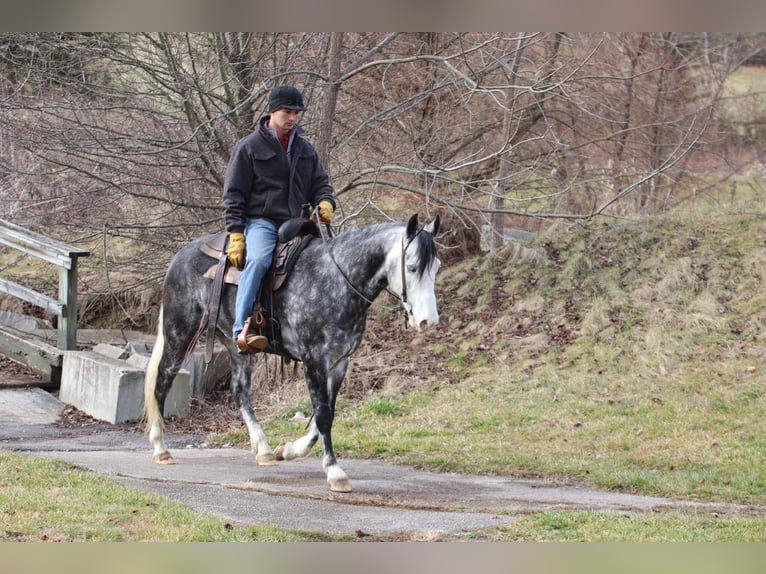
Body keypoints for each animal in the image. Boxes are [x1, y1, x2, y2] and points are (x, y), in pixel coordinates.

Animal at [145, 214, 444, 492]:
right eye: (412, 267)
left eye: (436, 267)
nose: (428, 321)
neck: (335, 280)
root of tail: (179, 257)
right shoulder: (314, 359)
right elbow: (322, 415)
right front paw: (335, 472)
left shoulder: (339, 363)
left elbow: (325, 415)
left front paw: (287, 450)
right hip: (179, 333)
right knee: (162, 382)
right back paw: (160, 448)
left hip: (237, 347)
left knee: (240, 390)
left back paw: (264, 449)